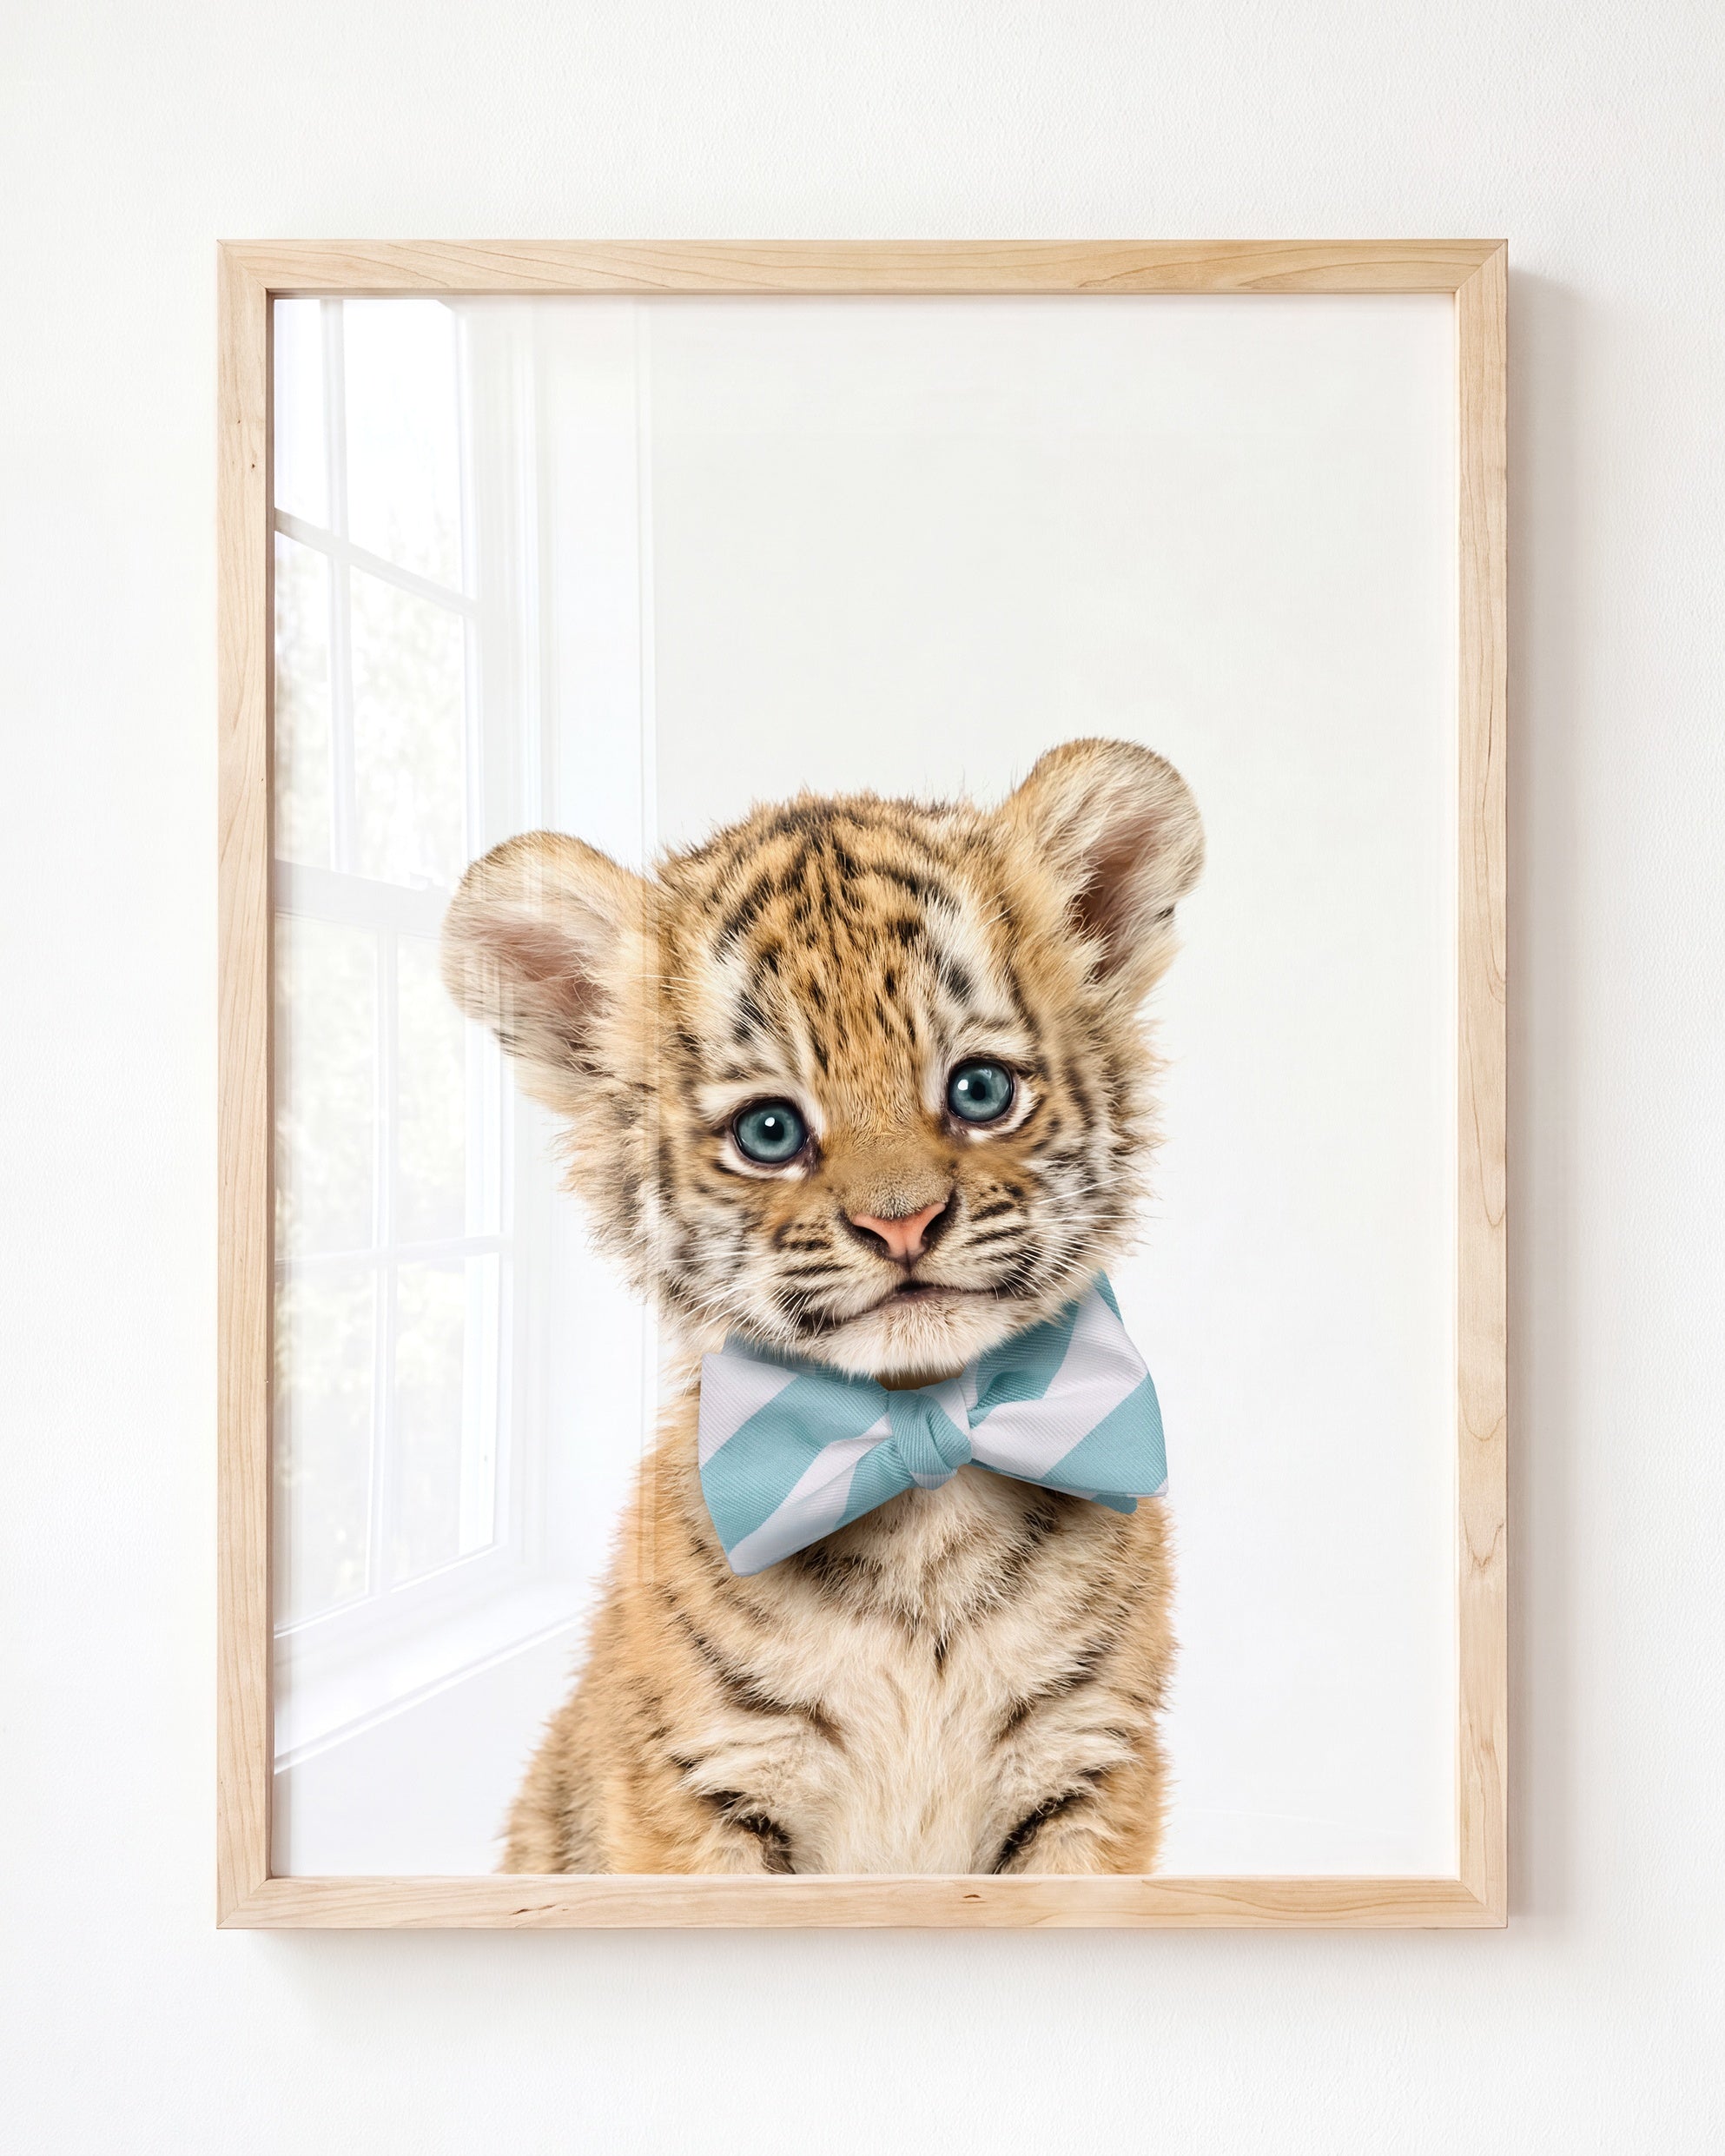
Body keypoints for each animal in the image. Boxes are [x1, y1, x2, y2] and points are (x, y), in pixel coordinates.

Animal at [441, 736, 1204, 1874]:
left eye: (980, 1091)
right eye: (769, 1131)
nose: (903, 1222)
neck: (923, 1484)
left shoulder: (1089, 1764)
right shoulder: (702, 1784)